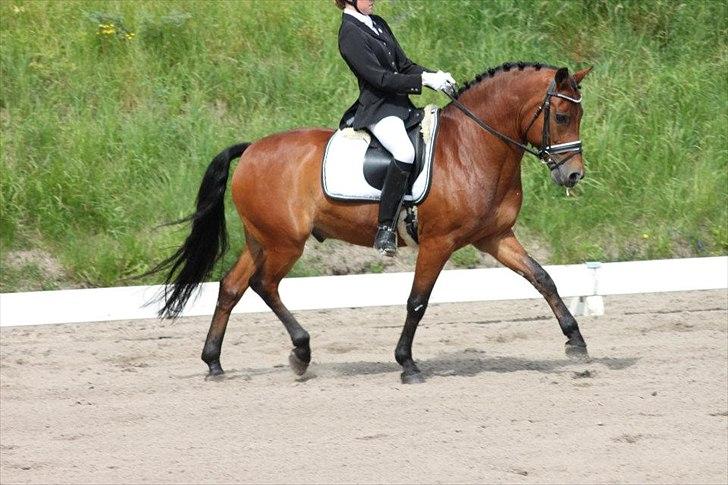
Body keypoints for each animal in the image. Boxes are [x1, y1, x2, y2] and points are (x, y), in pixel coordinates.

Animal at [151, 61, 592, 384]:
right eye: (562, 115)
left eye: (578, 114)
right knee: (264, 285)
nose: (573, 176)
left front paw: (576, 341)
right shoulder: (439, 242)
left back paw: (214, 363)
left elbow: (542, 278)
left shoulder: (495, 236)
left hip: (261, 238)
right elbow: (417, 301)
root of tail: (253, 149)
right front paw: (407, 364)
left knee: (231, 287)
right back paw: (301, 351)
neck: (473, 146)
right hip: (285, 243)